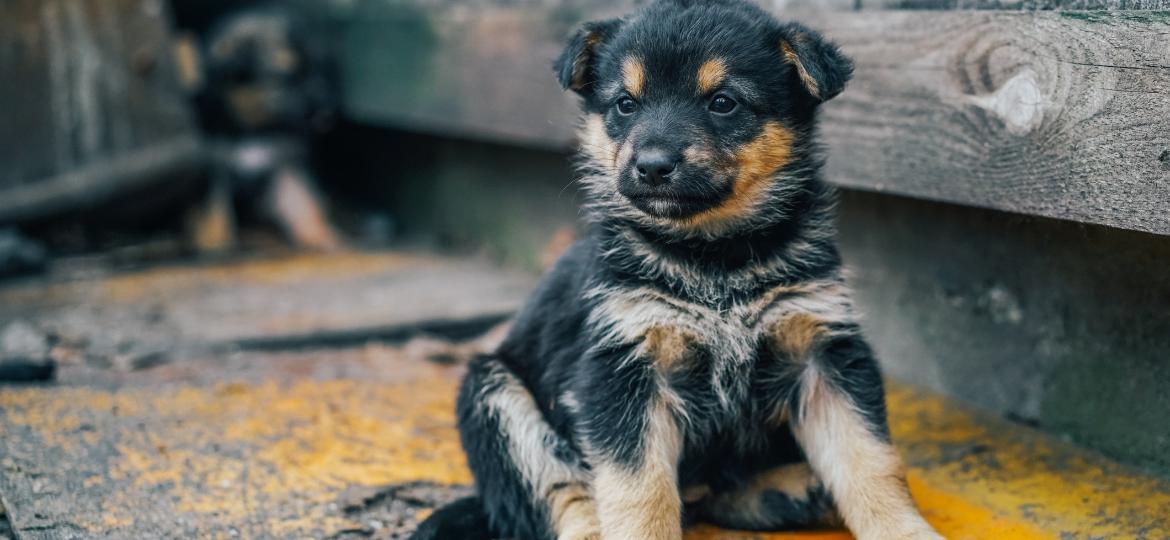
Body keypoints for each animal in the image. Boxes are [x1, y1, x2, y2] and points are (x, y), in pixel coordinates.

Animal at [411, 1, 940, 540]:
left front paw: (905, 530)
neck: (714, 257)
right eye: (625, 104)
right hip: (491, 392)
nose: (651, 166)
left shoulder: (824, 354)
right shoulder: (623, 369)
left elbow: (868, 460)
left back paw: (784, 491)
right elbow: (639, 490)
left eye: (723, 103)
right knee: (561, 492)